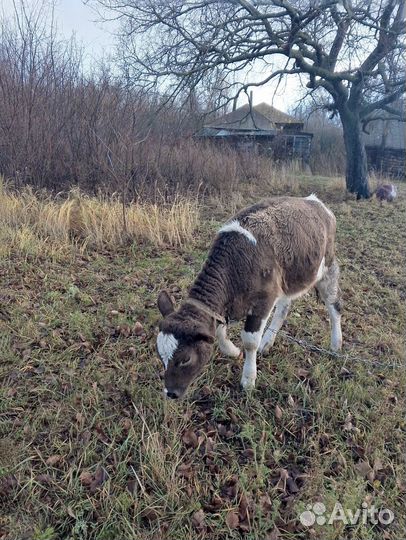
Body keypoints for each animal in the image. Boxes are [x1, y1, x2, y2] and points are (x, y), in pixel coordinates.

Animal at [157, 196, 340, 398]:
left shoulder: (263, 301)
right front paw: (232, 351)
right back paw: (267, 342)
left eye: (185, 359)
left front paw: (248, 379)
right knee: (283, 309)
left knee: (334, 306)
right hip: (289, 278)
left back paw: (336, 344)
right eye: (161, 356)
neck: (236, 265)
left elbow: (250, 341)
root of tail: (314, 201)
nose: (170, 393)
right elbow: (219, 332)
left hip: (327, 268)